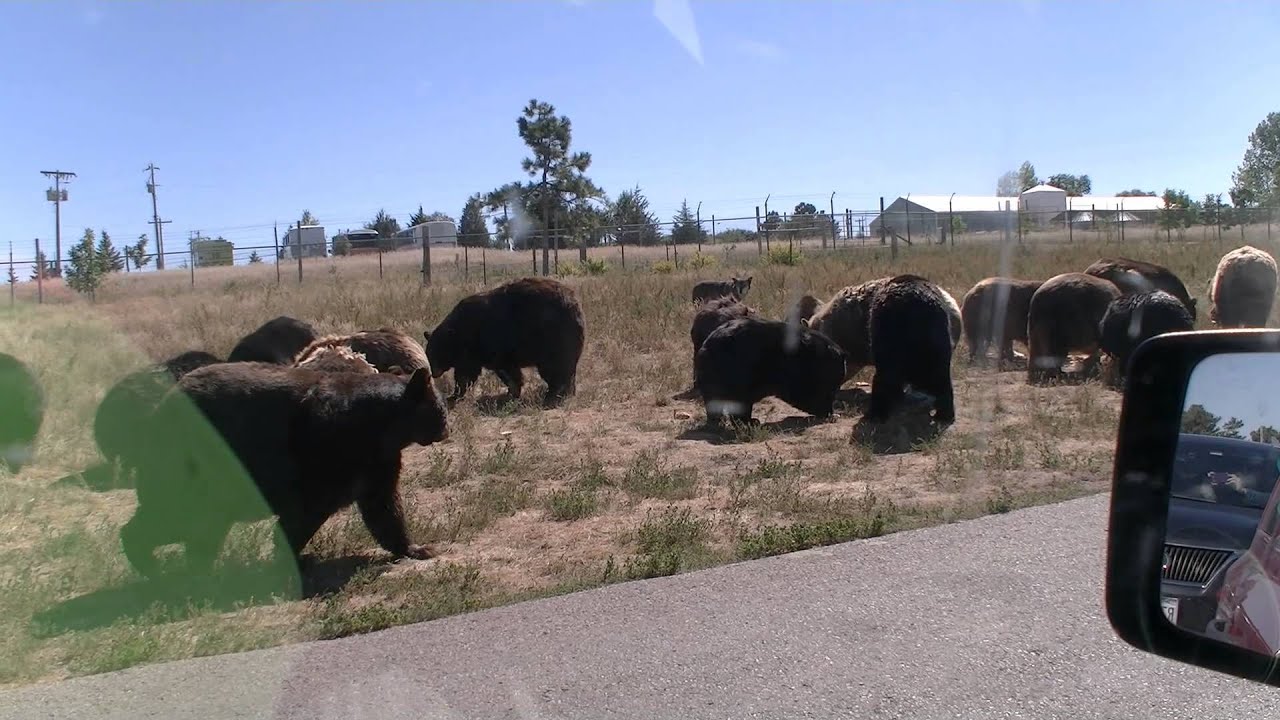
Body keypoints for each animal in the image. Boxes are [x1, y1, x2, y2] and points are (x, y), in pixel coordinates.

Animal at [118, 363, 449, 580]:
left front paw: (416, 548)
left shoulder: (377, 460)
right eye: (441, 408)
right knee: (180, 518)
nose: (447, 428)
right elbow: (305, 511)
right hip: (199, 466)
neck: (384, 426)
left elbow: (382, 507)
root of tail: (159, 409)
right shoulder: (331, 450)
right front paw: (293, 560)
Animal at [424, 277, 585, 407]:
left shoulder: (491, 344)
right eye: (429, 353)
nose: (433, 373)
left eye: (434, 353)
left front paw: (511, 393)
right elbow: (466, 374)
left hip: (552, 336)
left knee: (554, 367)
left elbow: (504, 371)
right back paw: (566, 391)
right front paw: (455, 394)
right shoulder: (472, 354)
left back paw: (553, 394)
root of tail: (574, 302)